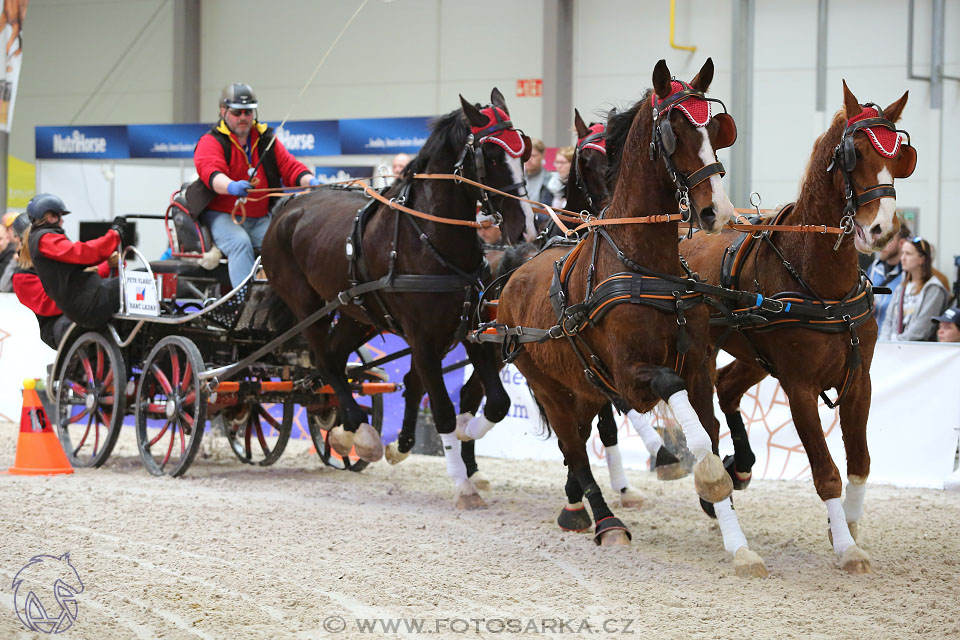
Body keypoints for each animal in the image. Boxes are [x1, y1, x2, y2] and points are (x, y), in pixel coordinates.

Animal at [260, 91, 540, 510]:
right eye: (490, 155)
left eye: (524, 151)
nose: (526, 229)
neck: (429, 240)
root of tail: (286, 209)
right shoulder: (423, 339)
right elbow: (441, 410)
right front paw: (463, 484)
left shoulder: (471, 331)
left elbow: (496, 403)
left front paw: (466, 433)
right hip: (308, 307)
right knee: (326, 361)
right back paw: (361, 432)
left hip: (357, 314)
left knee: (338, 358)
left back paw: (347, 431)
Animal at [498, 60, 768, 576]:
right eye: (674, 131)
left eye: (715, 130)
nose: (718, 212)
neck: (646, 266)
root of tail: (514, 277)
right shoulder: (632, 378)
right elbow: (683, 417)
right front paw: (705, 476)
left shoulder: (698, 368)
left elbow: (709, 432)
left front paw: (738, 542)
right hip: (549, 387)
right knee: (575, 451)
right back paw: (605, 521)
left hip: (581, 385)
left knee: (581, 439)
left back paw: (576, 508)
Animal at [676, 81, 916, 576]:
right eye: (856, 153)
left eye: (901, 155)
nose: (883, 230)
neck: (820, 281)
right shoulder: (800, 387)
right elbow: (826, 473)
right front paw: (846, 547)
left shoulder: (858, 380)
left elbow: (860, 461)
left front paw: (847, 525)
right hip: (705, 357)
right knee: (706, 412)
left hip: (755, 358)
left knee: (727, 388)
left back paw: (741, 466)